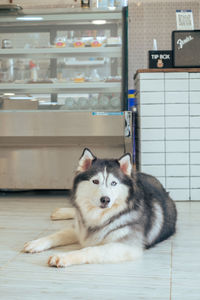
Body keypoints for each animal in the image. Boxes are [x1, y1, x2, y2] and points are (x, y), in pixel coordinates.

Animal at [23, 149, 177, 268]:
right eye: (95, 181)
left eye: (114, 183)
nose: (105, 200)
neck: (101, 215)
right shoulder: (81, 227)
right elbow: (59, 234)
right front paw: (37, 243)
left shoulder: (126, 246)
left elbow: (90, 250)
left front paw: (64, 257)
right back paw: (61, 212)